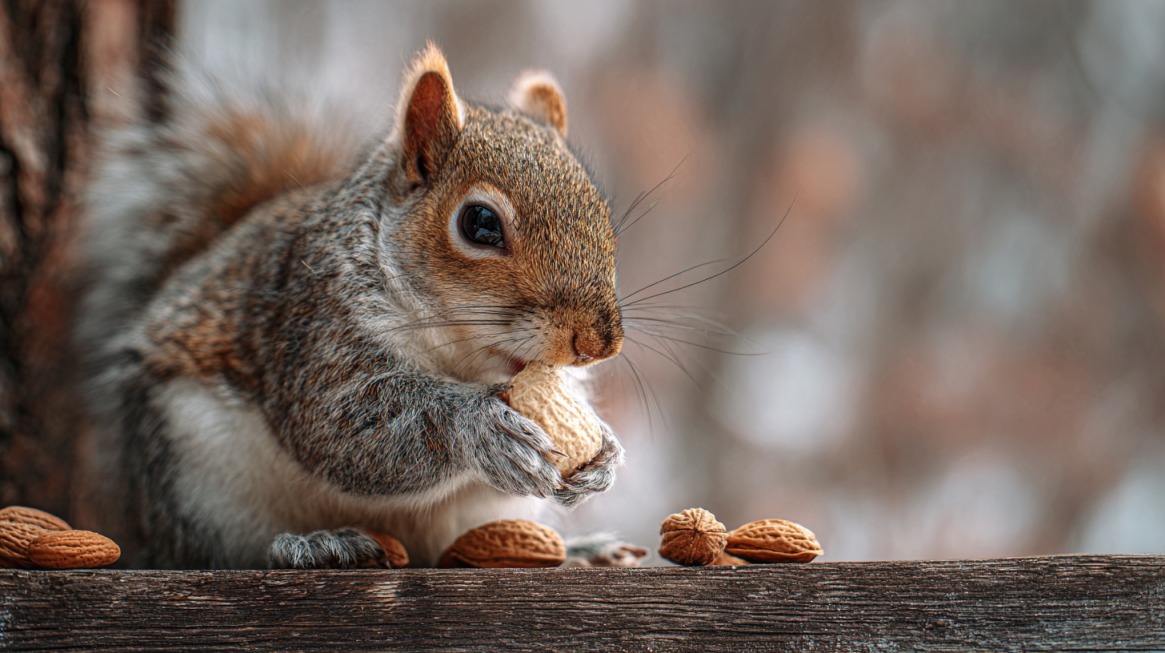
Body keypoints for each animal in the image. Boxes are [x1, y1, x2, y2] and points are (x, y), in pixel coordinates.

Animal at [77, 44, 635, 569]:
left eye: (600, 212)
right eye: (480, 223)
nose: (597, 344)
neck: (460, 354)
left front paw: (604, 455)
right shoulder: (315, 326)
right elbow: (342, 423)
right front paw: (480, 427)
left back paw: (580, 550)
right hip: (199, 481)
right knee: (219, 554)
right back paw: (317, 545)